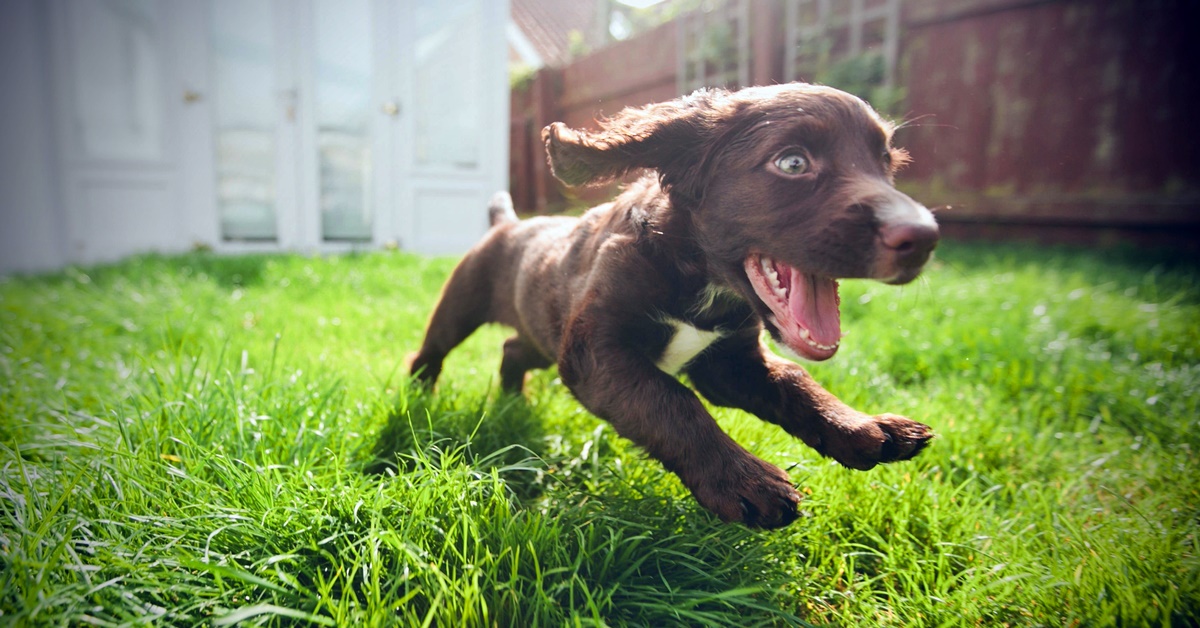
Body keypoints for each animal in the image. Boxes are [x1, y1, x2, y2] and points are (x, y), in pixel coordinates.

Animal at [410, 81, 936, 528]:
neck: (698, 279)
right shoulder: (595, 352)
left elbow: (794, 379)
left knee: (512, 350)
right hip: (462, 307)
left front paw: (862, 427)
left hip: (544, 335)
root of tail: (509, 222)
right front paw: (746, 481)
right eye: (792, 163)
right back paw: (420, 400)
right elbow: (672, 400)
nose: (926, 236)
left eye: (887, 165)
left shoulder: (729, 362)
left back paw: (513, 401)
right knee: (430, 352)